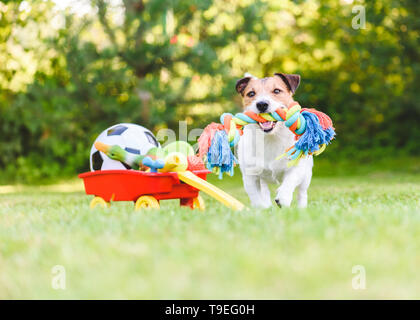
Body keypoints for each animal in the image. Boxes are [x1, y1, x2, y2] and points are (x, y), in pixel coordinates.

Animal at [235, 73, 314, 209]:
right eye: (251, 93)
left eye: (277, 91)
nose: (262, 104)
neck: (270, 138)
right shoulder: (250, 176)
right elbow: (256, 197)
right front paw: (261, 209)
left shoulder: (297, 168)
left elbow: (290, 181)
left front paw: (283, 198)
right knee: (264, 192)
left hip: (307, 175)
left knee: (302, 193)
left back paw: (301, 207)